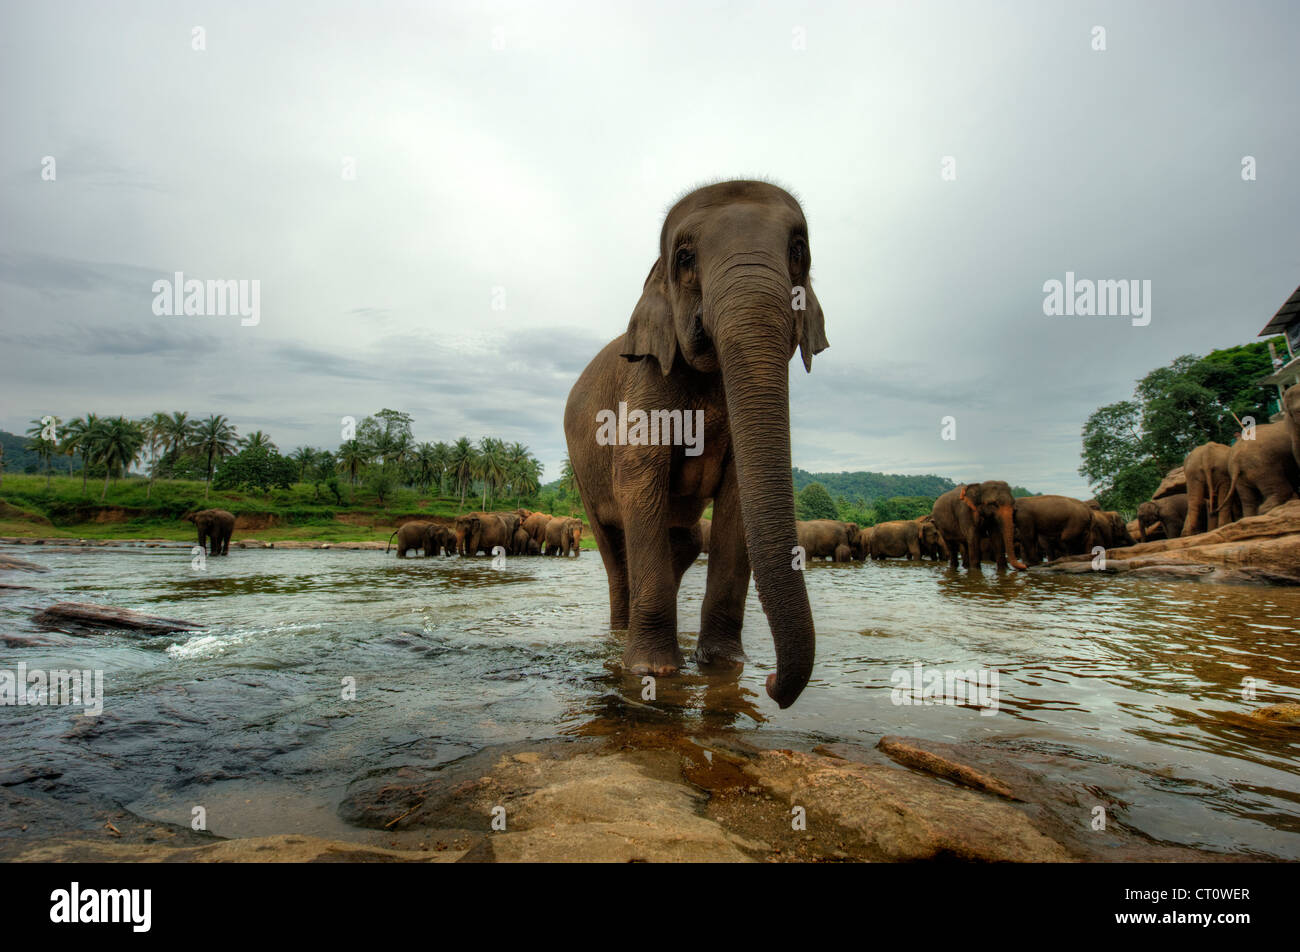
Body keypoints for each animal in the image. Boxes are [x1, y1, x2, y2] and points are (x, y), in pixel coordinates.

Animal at [556, 182, 821, 712]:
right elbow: (638, 482)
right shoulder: (645, 383)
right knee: (614, 548)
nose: (772, 684)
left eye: (798, 251)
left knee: (683, 540)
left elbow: (737, 500)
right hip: (580, 470)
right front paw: (652, 671)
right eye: (685, 258)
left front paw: (723, 665)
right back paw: (620, 637)